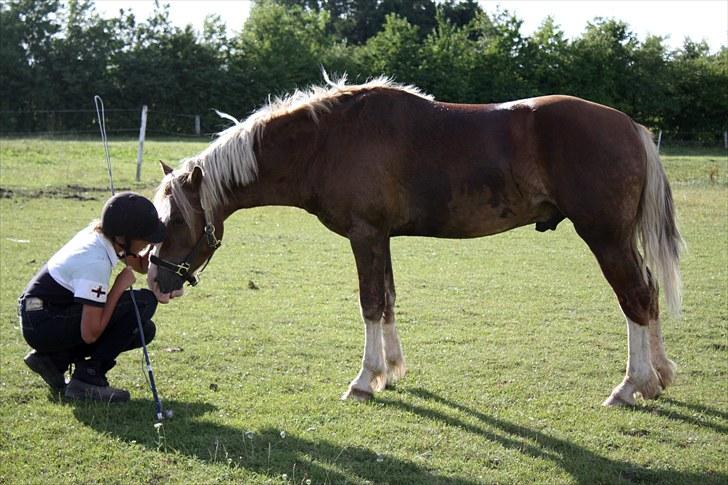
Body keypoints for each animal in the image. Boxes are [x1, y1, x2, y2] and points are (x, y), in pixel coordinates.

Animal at [148, 75, 684, 406]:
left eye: (173, 221)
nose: (155, 280)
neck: (326, 140)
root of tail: (631, 126)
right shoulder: (380, 237)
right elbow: (386, 300)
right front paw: (389, 371)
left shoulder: (365, 235)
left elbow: (369, 303)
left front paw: (364, 381)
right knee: (650, 293)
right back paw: (657, 378)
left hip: (606, 238)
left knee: (635, 298)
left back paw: (631, 386)